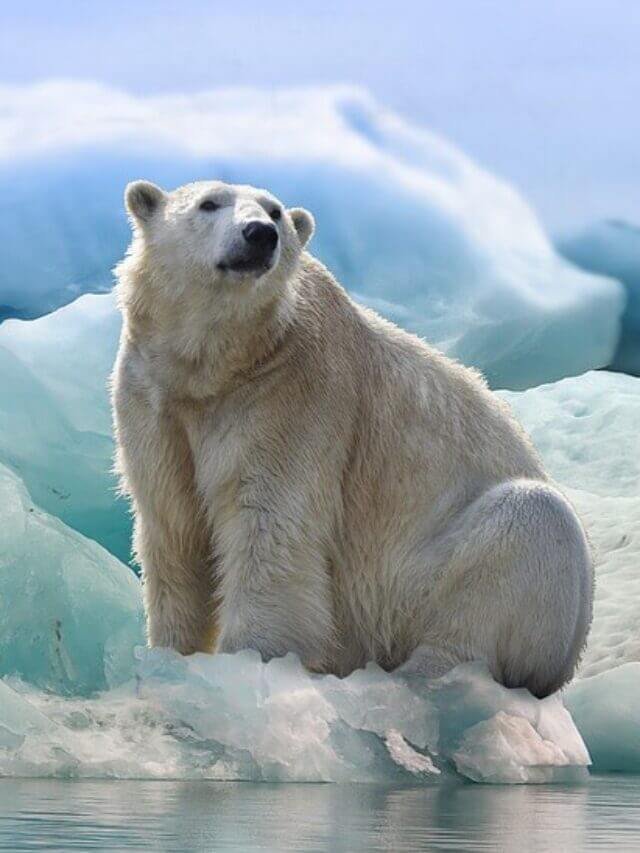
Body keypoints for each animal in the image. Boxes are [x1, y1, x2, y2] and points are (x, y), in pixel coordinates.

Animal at [112, 178, 593, 698]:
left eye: (275, 212)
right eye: (208, 204)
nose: (260, 234)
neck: (221, 365)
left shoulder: (292, 395)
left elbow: (269, 528)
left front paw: (247, 662)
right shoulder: (154, 399)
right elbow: (174, 527)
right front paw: (169, 657)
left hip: (425, 581)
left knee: (526, 530)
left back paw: (421, 676)